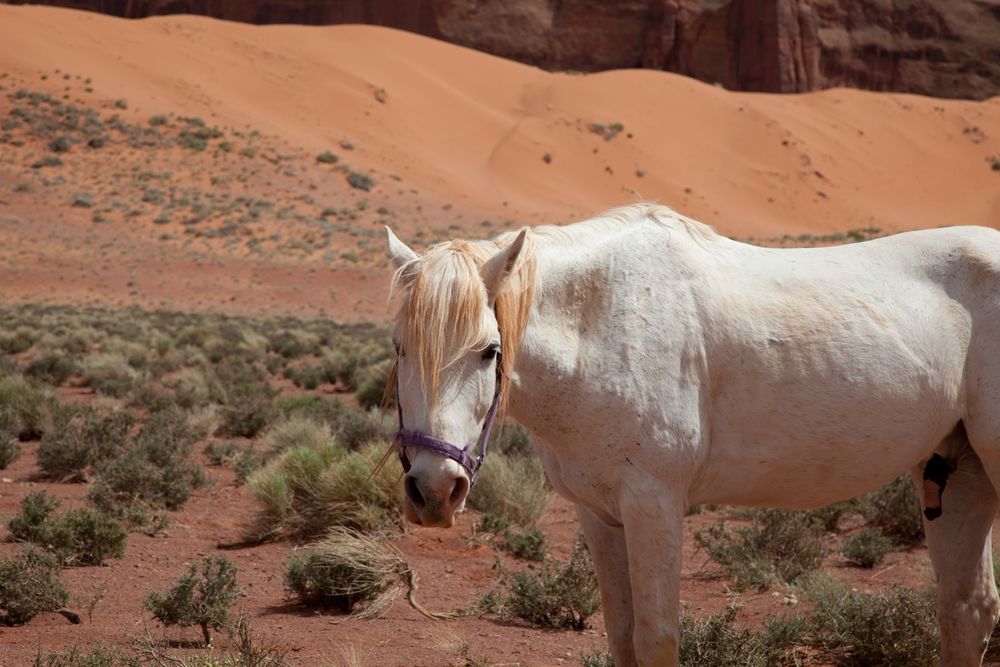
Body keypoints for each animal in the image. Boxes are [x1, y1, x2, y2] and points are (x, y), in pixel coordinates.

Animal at [382, 205, 1000, 667]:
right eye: (399, 348)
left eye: (489, 351)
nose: (433, 491)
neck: (601, 327)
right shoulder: (598, 514)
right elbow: (622, 635)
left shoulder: (653, 505)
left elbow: (656, 638)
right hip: (957, 478)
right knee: (966, 610)